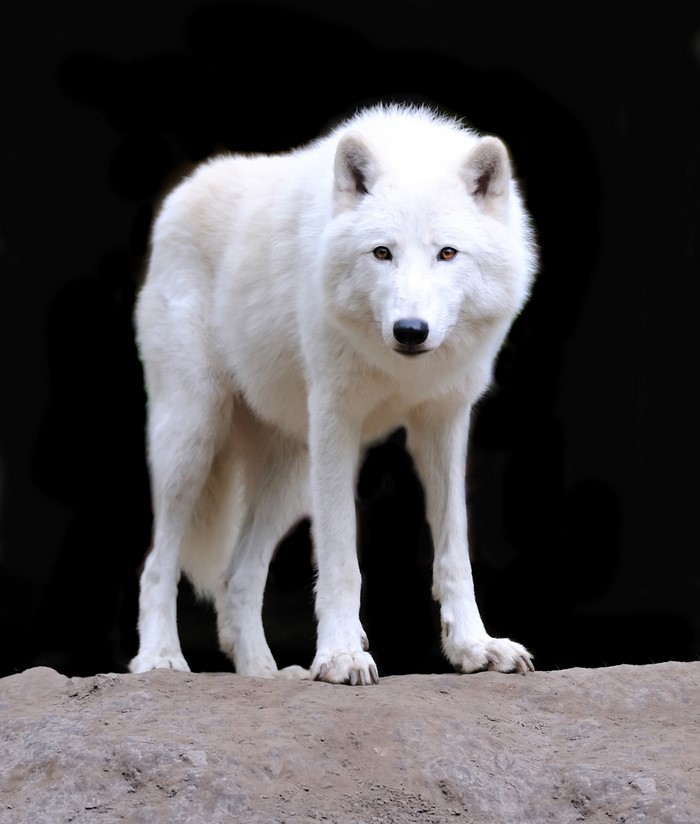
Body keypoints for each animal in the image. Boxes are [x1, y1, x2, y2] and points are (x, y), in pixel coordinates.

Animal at [130, 103, 538, 685]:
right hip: (192, 439)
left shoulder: (444, 421)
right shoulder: (335, 422)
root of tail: (183, 191)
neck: (399, 371)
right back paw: (161, 658)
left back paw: (266, 674)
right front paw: (342, 655)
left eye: (447, 253)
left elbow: (455, 551)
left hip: (290, 477)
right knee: (157, 563)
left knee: (236, 576)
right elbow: (342, 558)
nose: (409, 331)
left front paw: (475, 647)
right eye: (382, 253)